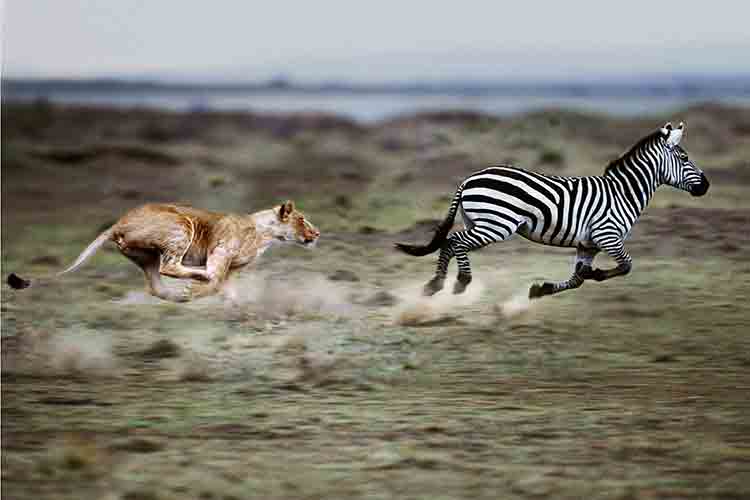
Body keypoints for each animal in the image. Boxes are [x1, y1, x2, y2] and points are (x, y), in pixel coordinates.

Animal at [400, 122, 712, 298]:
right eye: (684, 157)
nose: (706, 186)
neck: (623, 192)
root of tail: (468, 179)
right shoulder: (608, 236)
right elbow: (626, 265)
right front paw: (597, 275)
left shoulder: (588, 244)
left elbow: (577, 279)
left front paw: (542, 290)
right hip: (496, 224)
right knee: (455, 241)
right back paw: (457, 282)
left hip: (479, 222)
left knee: (452, 243)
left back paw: (438, 284)